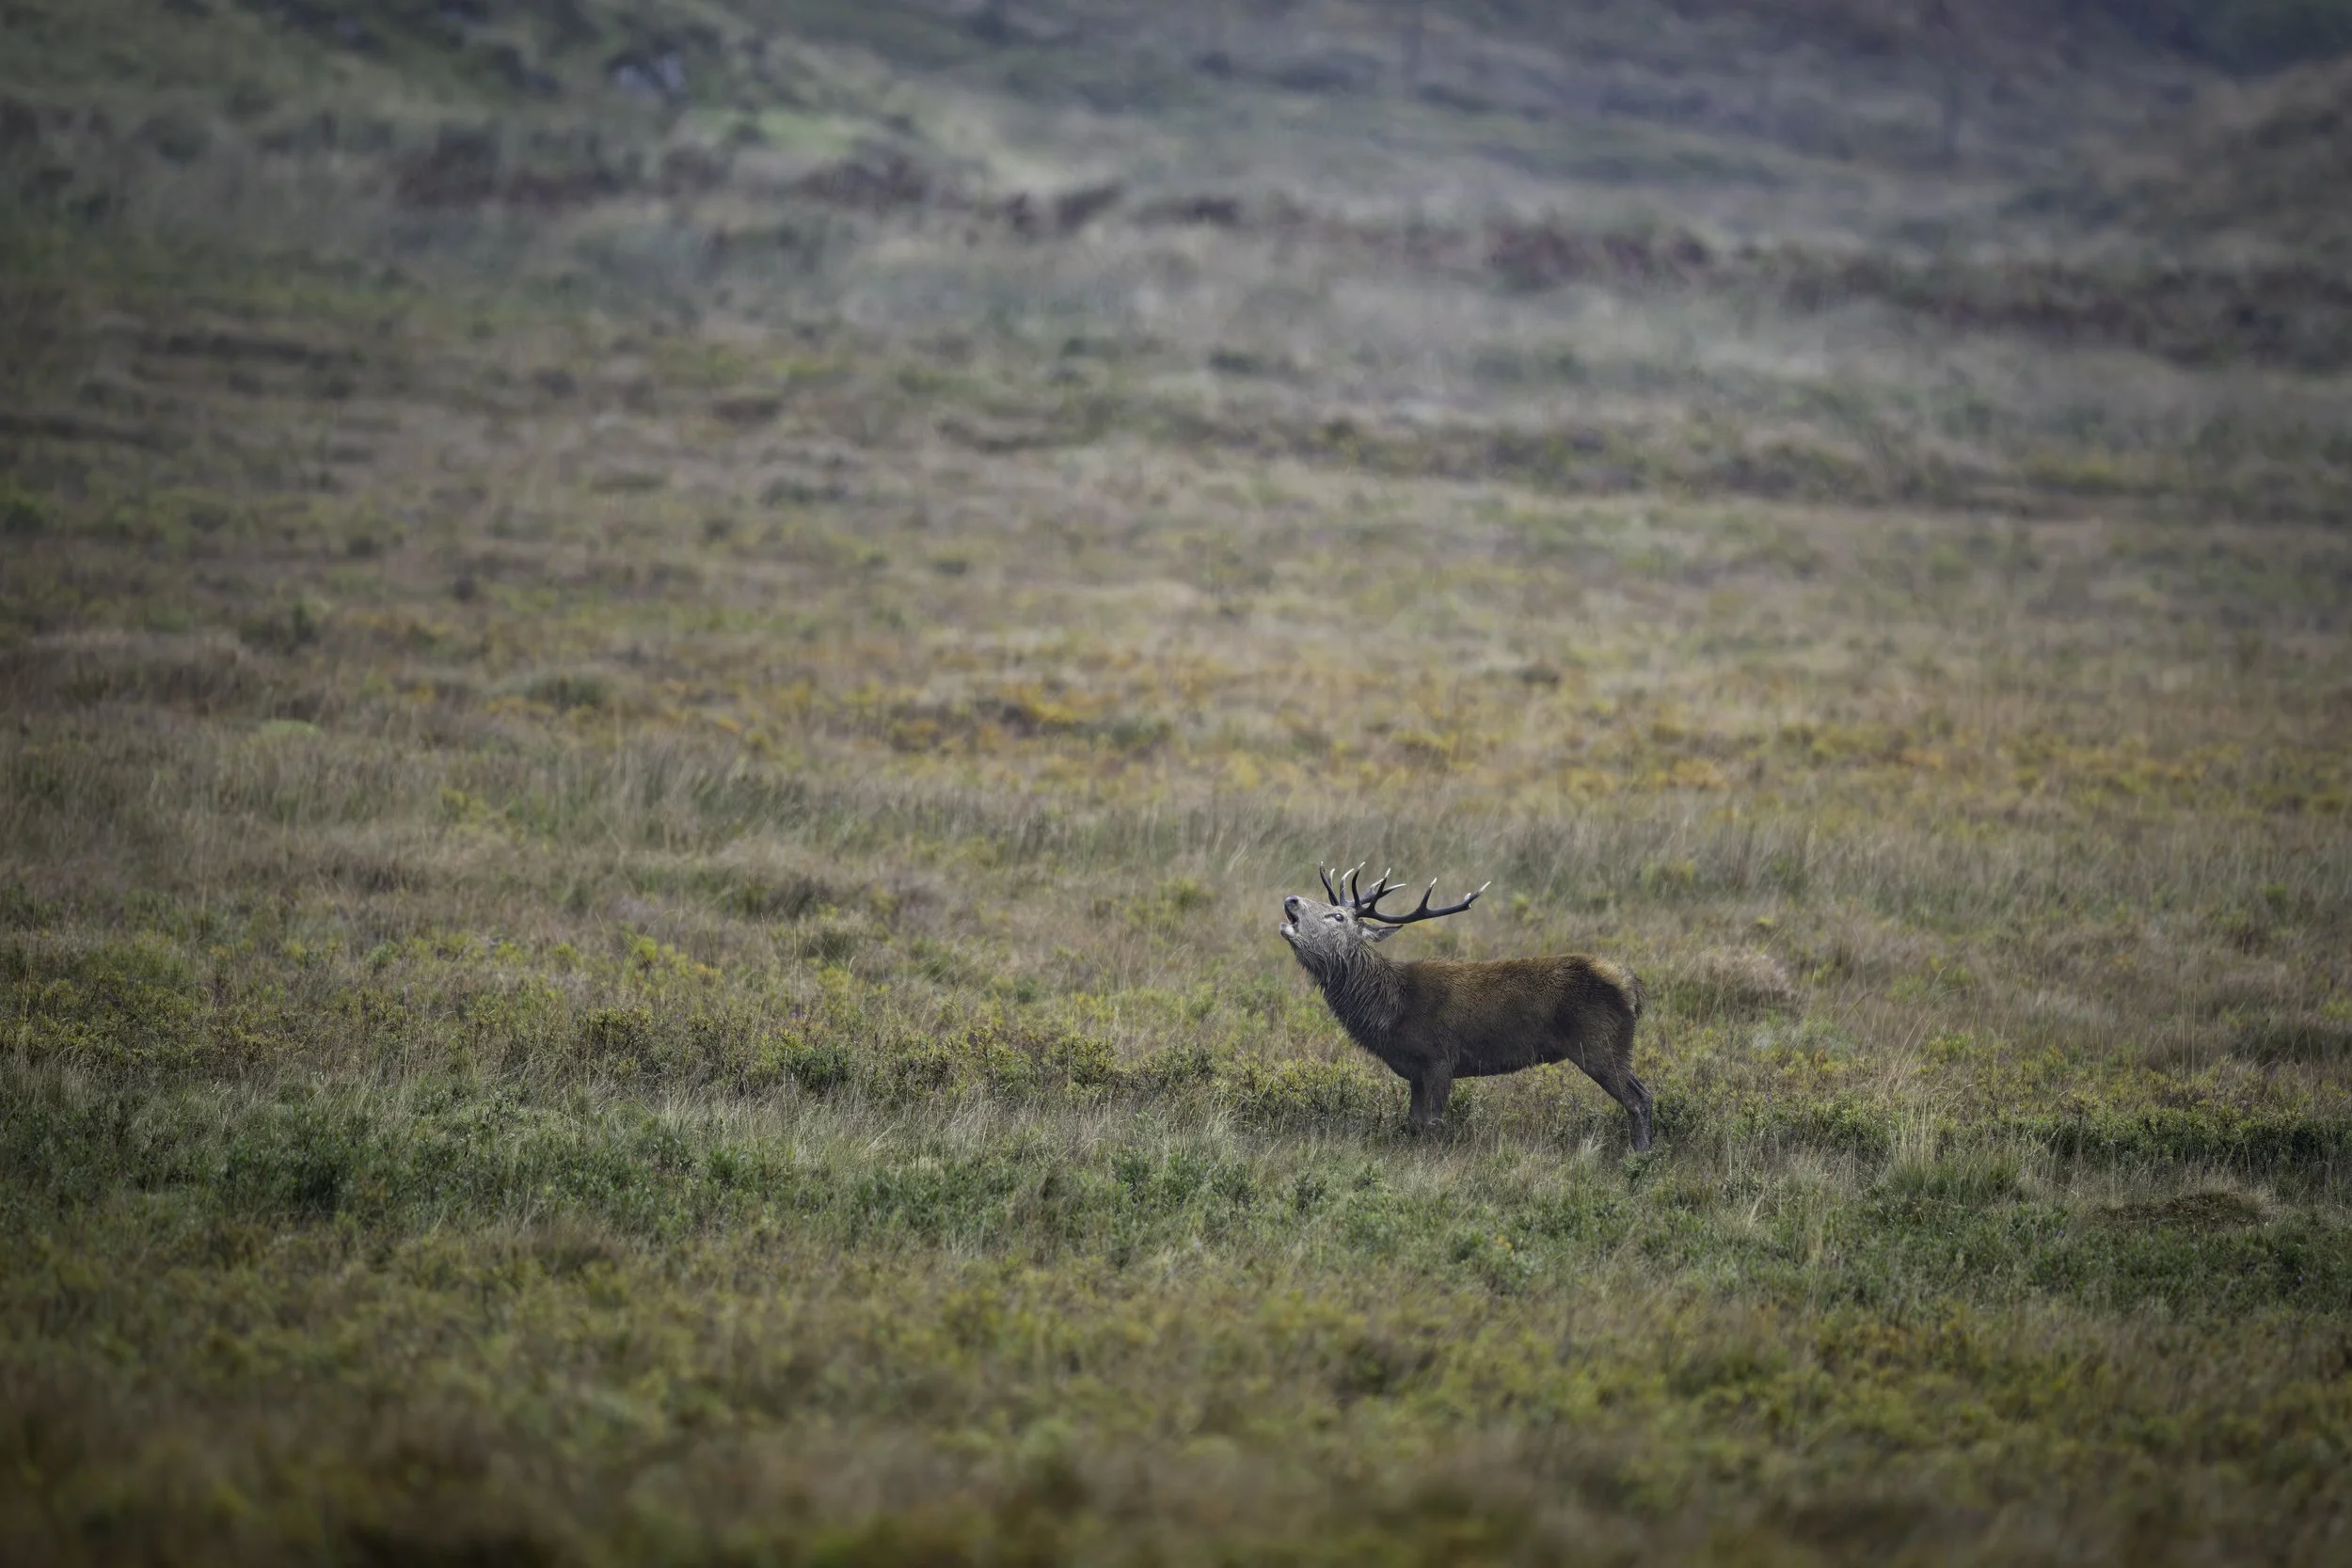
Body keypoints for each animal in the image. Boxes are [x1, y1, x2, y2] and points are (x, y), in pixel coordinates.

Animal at [1279, 865, 1653, 1149]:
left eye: (1337, 916)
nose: (1291, 899)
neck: (1391, 1011)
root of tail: (1632, 985)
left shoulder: (1439, 1058)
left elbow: (1432, 1124)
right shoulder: (1415, 1071)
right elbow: (1413, 1124)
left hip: (1597, 1044)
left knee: (1638, 1100)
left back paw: (1639, 1155)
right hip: (1615, 1048)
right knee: (1646, 1094)